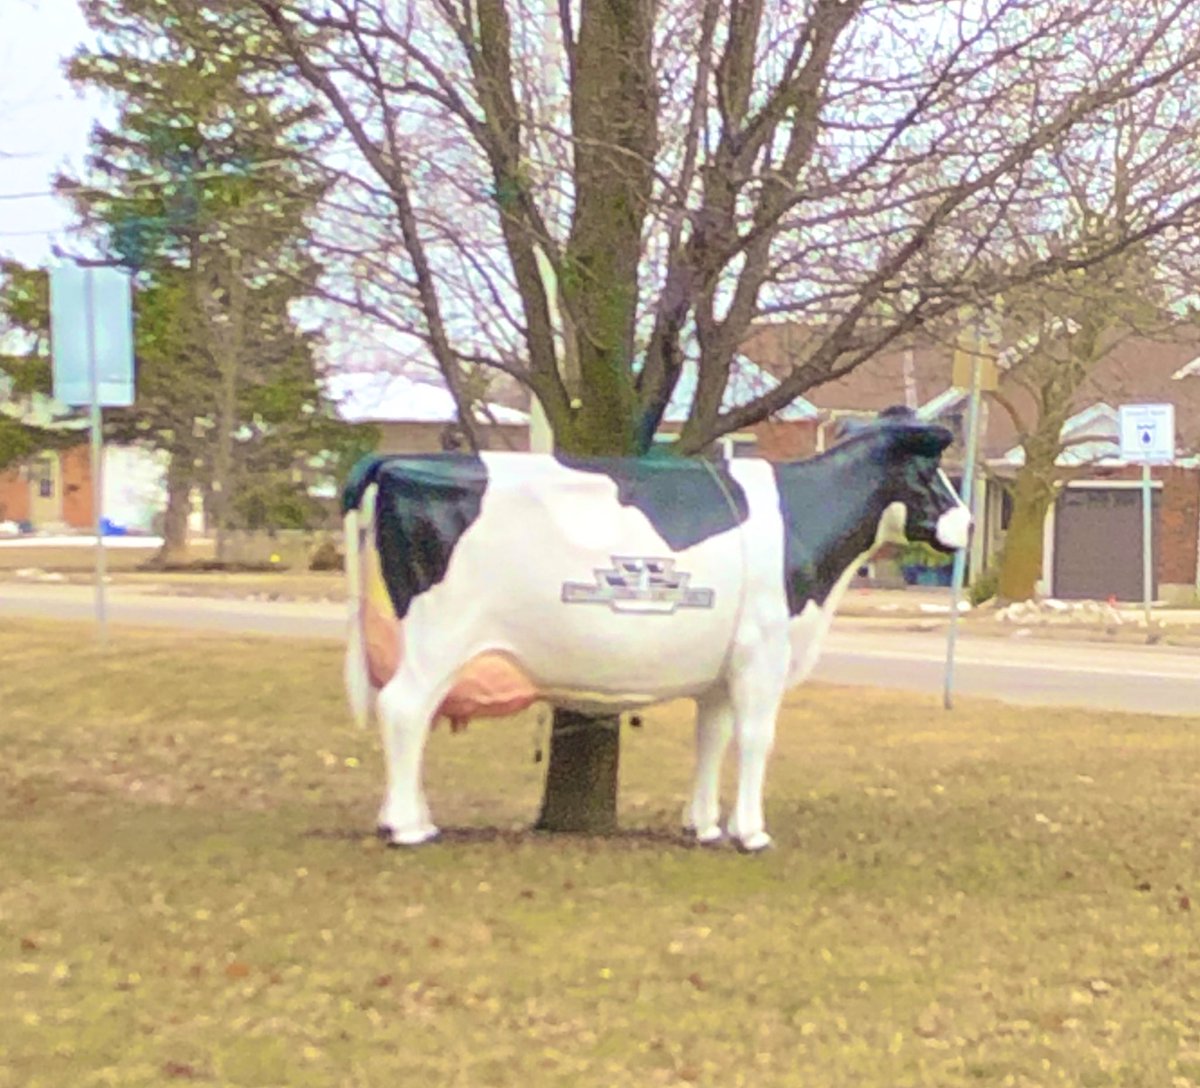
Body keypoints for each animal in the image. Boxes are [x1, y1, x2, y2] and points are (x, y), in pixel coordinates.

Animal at [342, 407, 969, 851]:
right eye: (927, 471)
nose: (966, 521)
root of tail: (393, 463)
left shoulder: (724, 666)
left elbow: (711, 737)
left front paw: (704, 826)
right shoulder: (763, 652)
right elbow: (756, 738)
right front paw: (751, 832)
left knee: (411, 717)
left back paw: (410, 817)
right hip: (437, 634)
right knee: (404, 708)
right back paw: (407, 828)